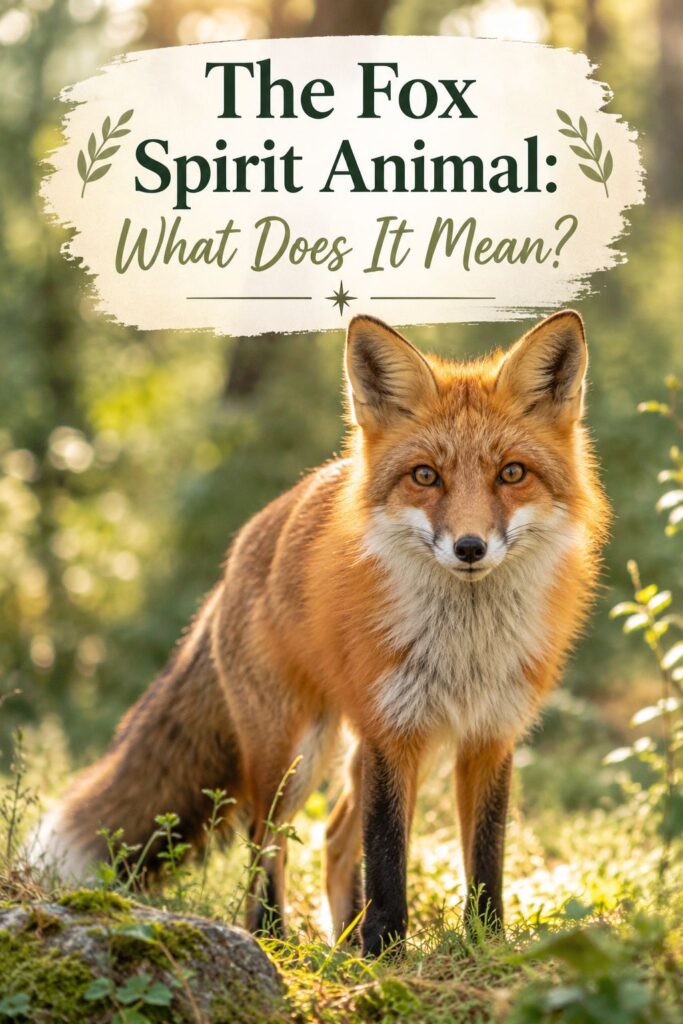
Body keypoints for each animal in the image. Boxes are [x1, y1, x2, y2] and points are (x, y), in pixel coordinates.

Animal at [34, 310, 608, 956]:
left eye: (512, 473)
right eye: (425, 476)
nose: (469, 548)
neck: (465, 648)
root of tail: (239, 554)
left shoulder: (488, 734)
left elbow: (484, 860)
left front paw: (483, 943)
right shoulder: (392, 730)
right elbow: (386, 858)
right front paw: (386, 953)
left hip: (389, 751)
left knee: (333, 837)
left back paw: (344, 939)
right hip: (293, 752)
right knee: (267, 843)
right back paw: (275, 939)